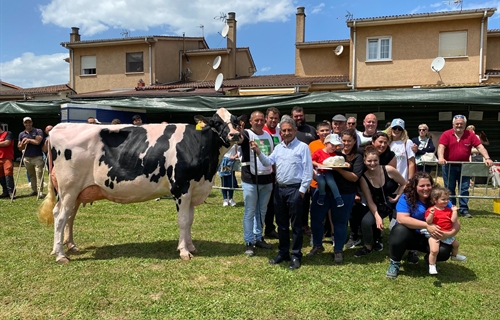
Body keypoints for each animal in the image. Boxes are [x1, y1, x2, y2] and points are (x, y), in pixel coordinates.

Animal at [39, 107, 242, 262]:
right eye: (216, 122)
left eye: (236, 121)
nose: (235, 135)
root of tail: (59, 127)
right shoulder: (181, 188)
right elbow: (183, 221)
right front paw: (184, 251)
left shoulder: (193, 189)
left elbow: (190, 220)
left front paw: (191, 247)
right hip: (68, 189)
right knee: (60, 216)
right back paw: (60, 254)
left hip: (76, 192)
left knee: (69, 216)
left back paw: (70, 246)